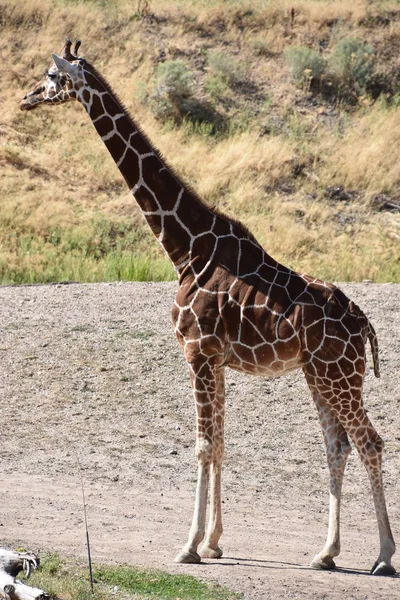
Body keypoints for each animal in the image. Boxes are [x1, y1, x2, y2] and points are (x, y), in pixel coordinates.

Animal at [21, 39, 396, 576]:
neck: (184, 246)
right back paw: (325, 553)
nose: (27, 97)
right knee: (338, 446)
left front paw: (189, 545)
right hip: (320, 373)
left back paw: (383, 557)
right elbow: (219, 442)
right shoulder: (216, 358)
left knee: (369, 442)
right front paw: (215, 542)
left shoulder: (196, 350)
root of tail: (363, 322)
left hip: (339, 373)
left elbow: (201, 445)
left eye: (52, 75)